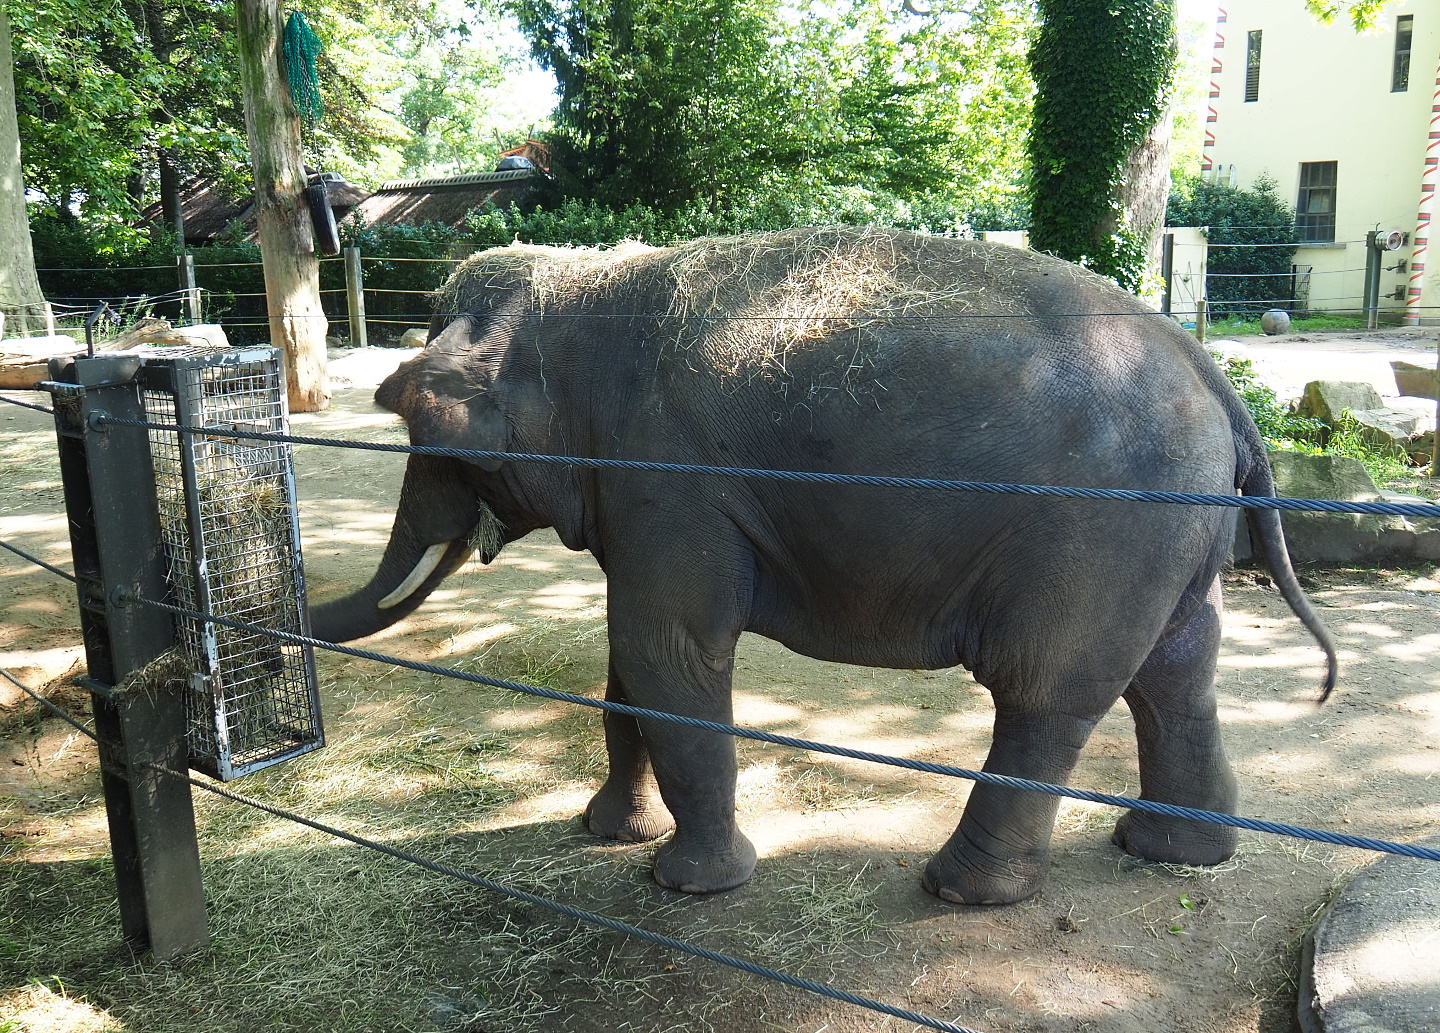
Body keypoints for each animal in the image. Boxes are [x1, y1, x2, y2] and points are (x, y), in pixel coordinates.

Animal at [310, 227, 1336, 905]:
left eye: (418, 427)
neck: (590, 285)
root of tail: (1218, 380)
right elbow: (630, 666)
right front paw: (607, 834)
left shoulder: (670, 483)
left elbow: (667, 655)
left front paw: (692, 885)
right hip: (1176, 535)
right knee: (1178, 673)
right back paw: (1173, 851)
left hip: (1103, 534)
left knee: (1046, 694)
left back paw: (960, 890)